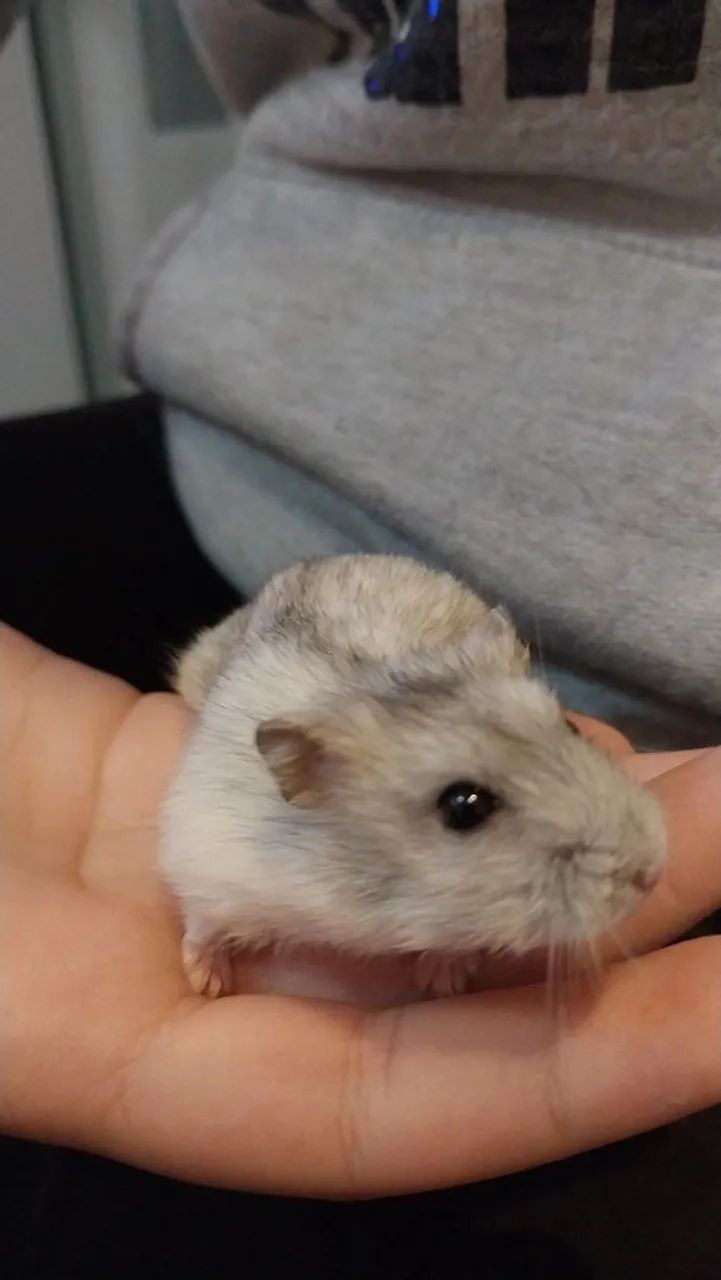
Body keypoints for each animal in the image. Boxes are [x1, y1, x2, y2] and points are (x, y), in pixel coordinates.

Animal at [161, 555, 666, 1002]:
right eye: (464, 806)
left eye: (572, 727)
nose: (653, 873)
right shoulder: (210, 865)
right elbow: (202, 924)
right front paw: (208, 984)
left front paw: (443, 980)